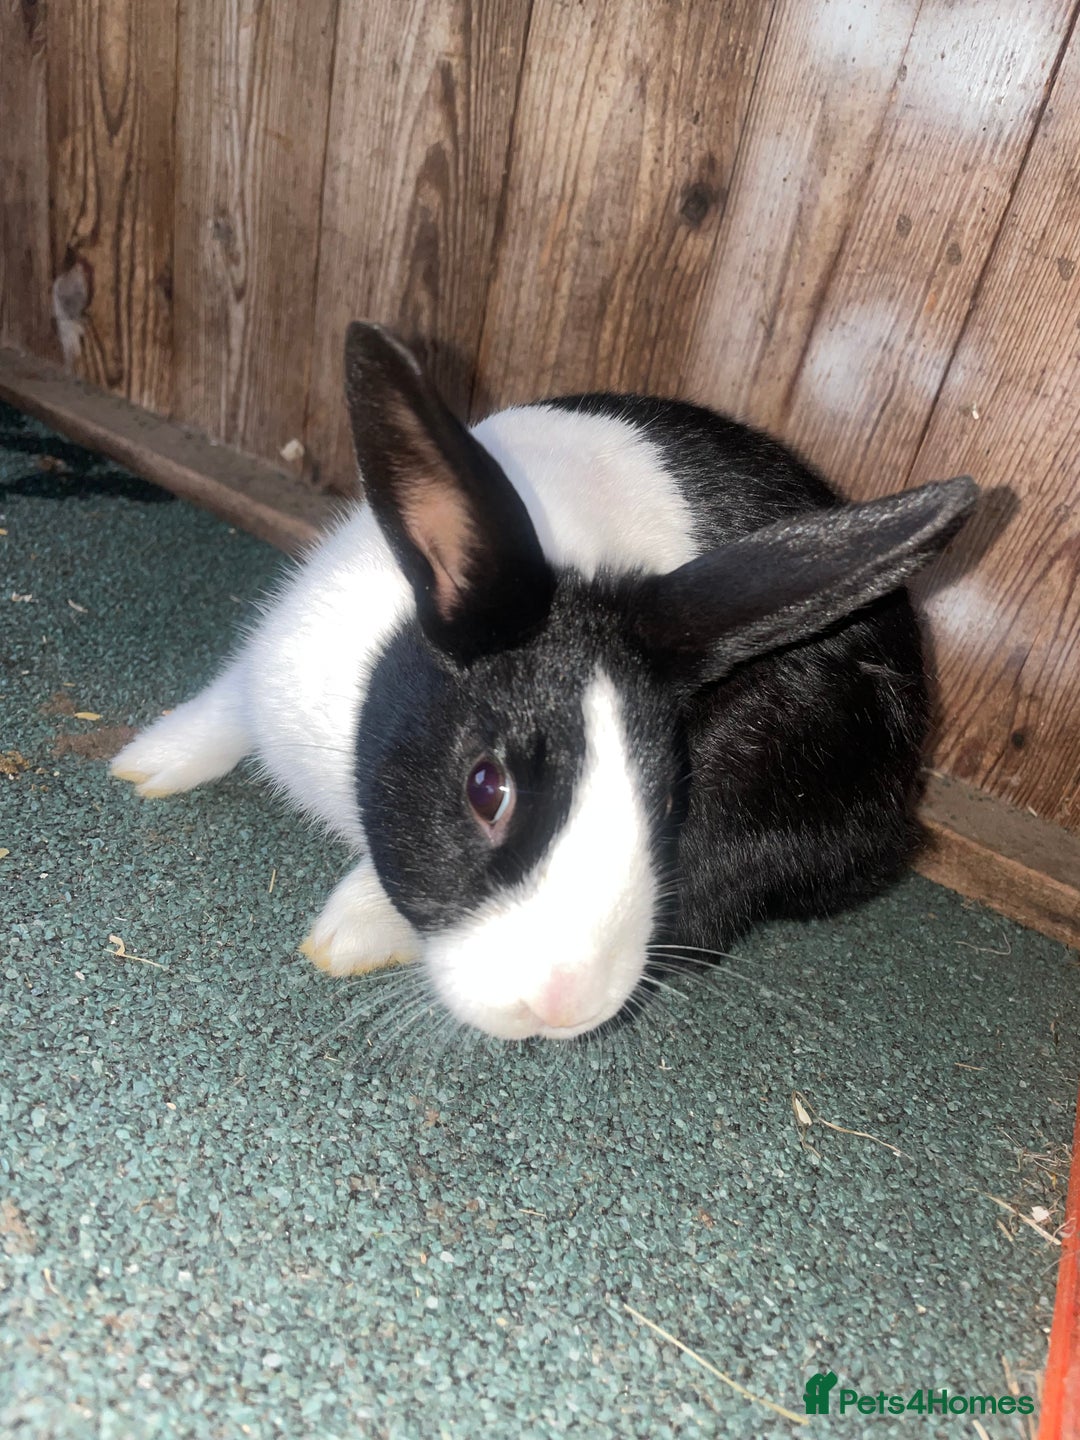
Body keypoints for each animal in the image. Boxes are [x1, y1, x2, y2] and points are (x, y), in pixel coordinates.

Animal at [111, 322, 977, 1041]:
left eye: (669, 801)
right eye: (484, 787)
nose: (565, 1004)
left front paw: (350, 934)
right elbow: (227, 707)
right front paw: (146, 763)